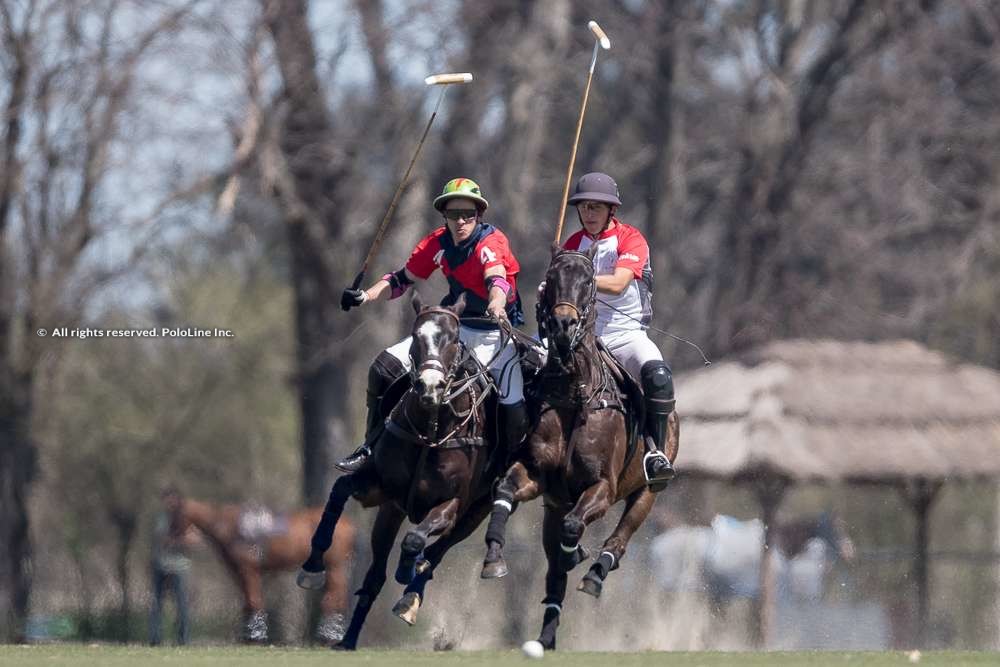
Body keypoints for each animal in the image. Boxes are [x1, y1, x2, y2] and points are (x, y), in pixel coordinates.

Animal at [170, 496, 358, 640]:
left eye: (175, 515)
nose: (173, 540)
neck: (227, 526)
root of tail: (348, 524)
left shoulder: (248, 570)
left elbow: (253, 600)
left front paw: (255, 636)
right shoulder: (238, 572)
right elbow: (248, 601)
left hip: (336, 568)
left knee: (334, 599)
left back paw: (329, 637)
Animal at [292, 294, 504, 648]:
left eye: (453, 339)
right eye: (417, 337)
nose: (430, 387)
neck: (430, 430)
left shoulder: (450, 505)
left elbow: (416, 540)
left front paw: (407, 569)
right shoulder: (382, 489)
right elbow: (339, 490)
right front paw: (312, 566)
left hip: (474, 513)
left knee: (436, 552)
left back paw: (409, 597)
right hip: (390, 514)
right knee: (375, 575)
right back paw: (349, 639)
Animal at [478, 245, 680, 652]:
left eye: (588, 281)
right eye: (550, 278)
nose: (562, 325)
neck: (576, 392)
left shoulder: (602, 487)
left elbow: (575, 527)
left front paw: (580, 556)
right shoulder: (537, 474)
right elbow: (505, 490)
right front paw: (494, 557)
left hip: (648, 492)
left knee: (618, 539)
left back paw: (596, 572)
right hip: (555, 505)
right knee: (555, 576)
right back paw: (545, 636)